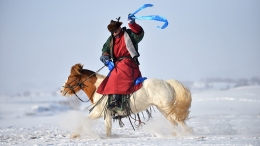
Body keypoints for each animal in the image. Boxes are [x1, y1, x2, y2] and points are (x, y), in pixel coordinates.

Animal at [60, 63, 192, 137]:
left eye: (71, 77)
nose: (62, 91)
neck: (99, 88)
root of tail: (167, 83)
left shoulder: (103, 113)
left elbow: (106, 129)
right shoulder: (100, 113)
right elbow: (86, 121)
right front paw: (74, 135)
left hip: (167, 108)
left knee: (179, 122)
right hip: (164, 110)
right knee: (175, 123)